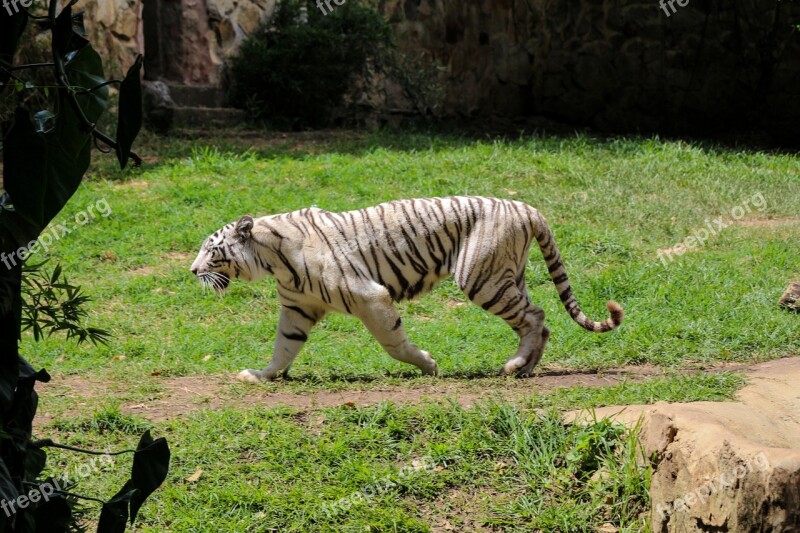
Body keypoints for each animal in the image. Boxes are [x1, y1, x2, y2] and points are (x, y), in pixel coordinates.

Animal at [189, 197, 624, 380]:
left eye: (211, 250)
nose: (192, 271)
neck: (272, 261)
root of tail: (527, 208)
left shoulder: (370, 295)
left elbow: (393, 343)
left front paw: (428, 365)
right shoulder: (297, 310)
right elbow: (283, 348)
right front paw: (260, 375)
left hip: (481, 279)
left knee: (535, 317)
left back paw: (515, 366)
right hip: (507, 276)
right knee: (540, 320)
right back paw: (525, 368)